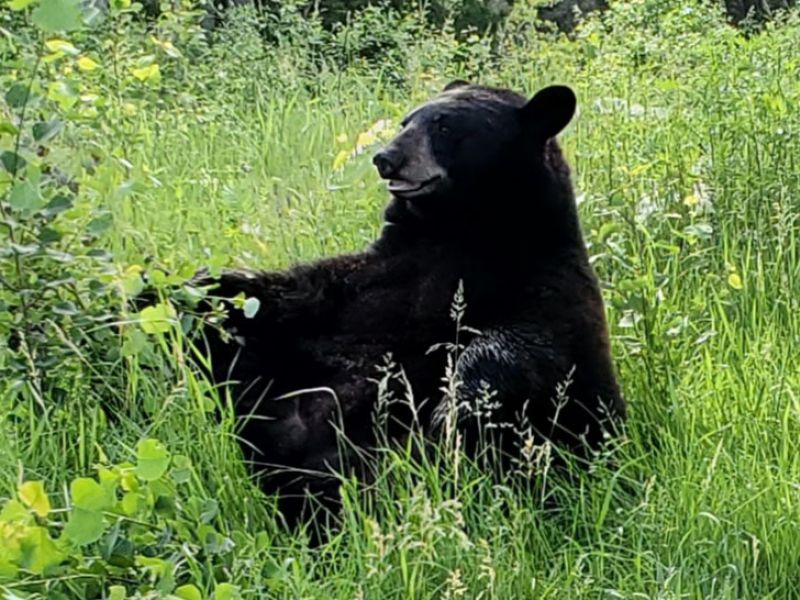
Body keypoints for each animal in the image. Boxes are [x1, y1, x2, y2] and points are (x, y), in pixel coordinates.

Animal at [181, 80, 625, 531]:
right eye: (406, 121)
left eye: (445, 127)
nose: (385, 159)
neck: (462, 233)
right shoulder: (376, 283)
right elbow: (295, 297)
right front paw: (197, 288)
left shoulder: (550, 288)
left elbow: (528, 347)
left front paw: (454, 406)